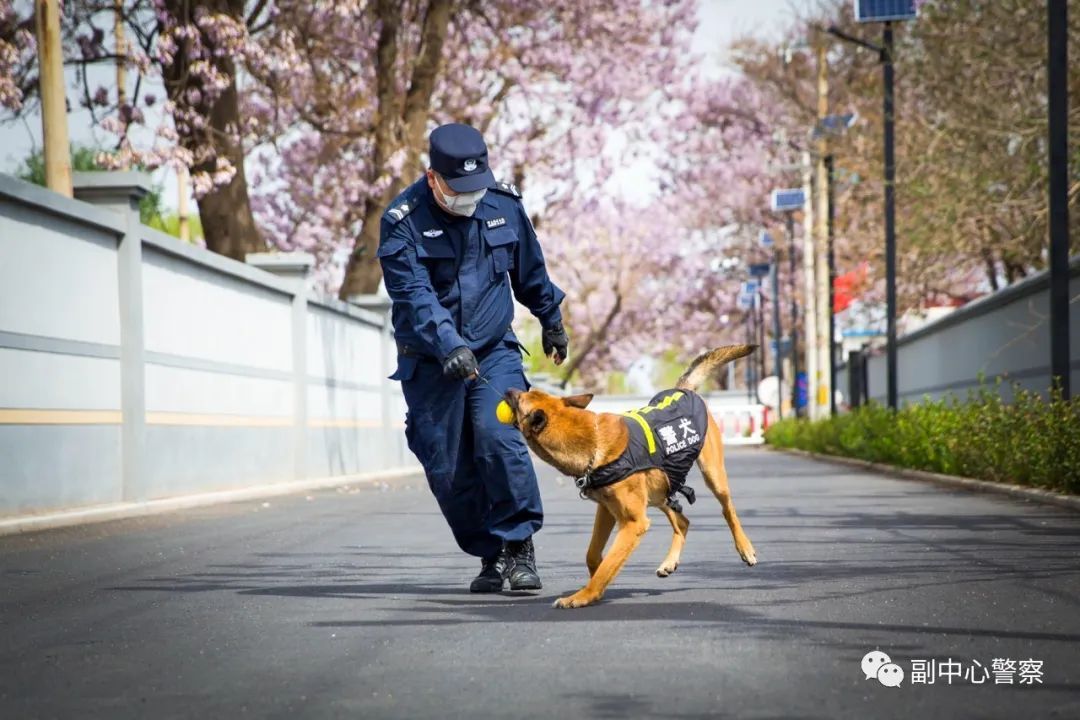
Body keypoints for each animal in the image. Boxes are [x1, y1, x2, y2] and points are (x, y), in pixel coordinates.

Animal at [505, 343, 760, 608]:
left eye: (520, 399)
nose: (508, 388)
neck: (593, 442)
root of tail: (683, 389)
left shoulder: (633, 523)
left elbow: (608, 562)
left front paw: (584, 595)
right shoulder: (607, 511)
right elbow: (593, 554)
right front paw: (597, 580)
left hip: (712, 476)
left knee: (728, 510)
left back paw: (745, 548)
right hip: (660, 491)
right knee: (682, 522)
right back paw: (670, 562)